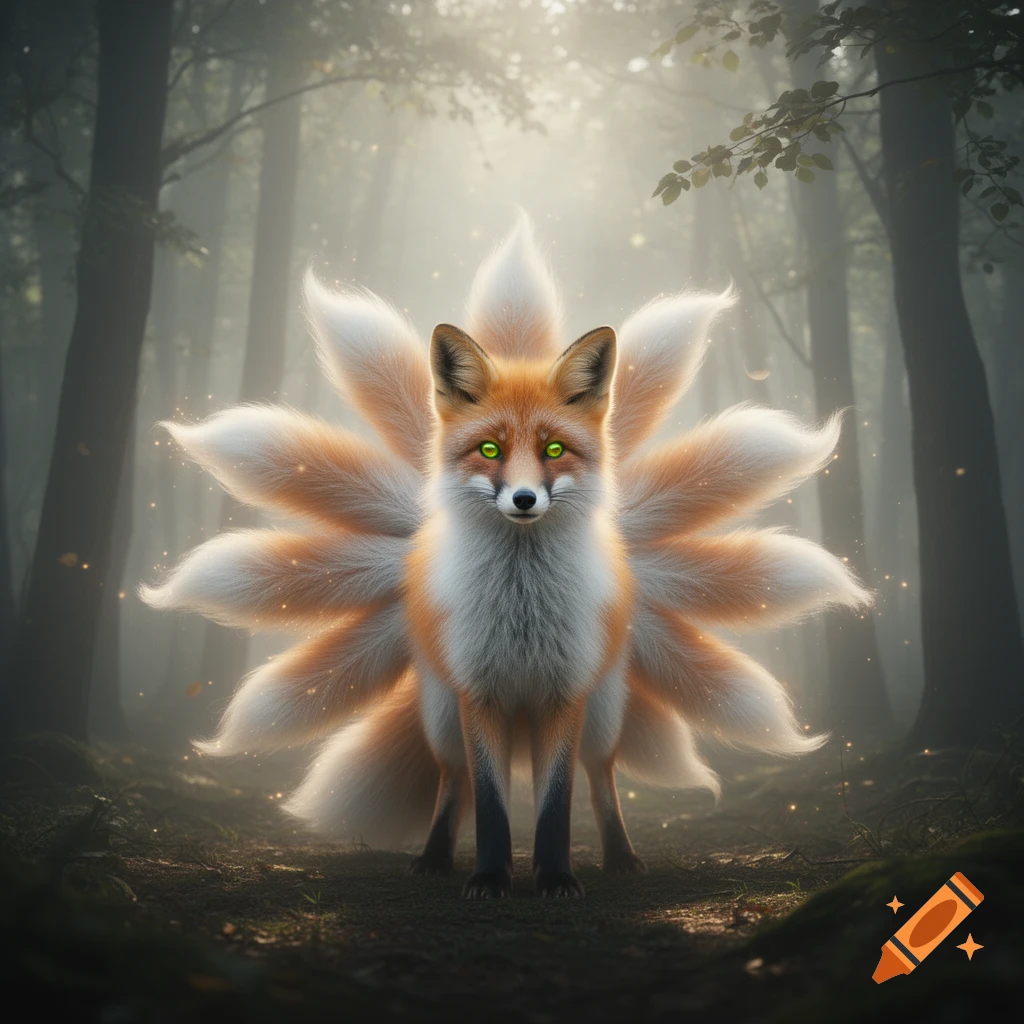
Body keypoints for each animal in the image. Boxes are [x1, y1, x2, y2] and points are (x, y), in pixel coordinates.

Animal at [141, 213, 869, 898]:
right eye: (490, 449)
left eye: (554, 450)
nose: (522, 499)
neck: (522, 612)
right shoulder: (479, 695)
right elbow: (490, 804)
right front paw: (490, 878)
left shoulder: (565, 696)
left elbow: (555, 803)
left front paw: (554, 877)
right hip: (441, 714)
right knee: (452, 782)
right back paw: (435, 858)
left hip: (604, 712)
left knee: (600, 779)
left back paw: (621, 858)